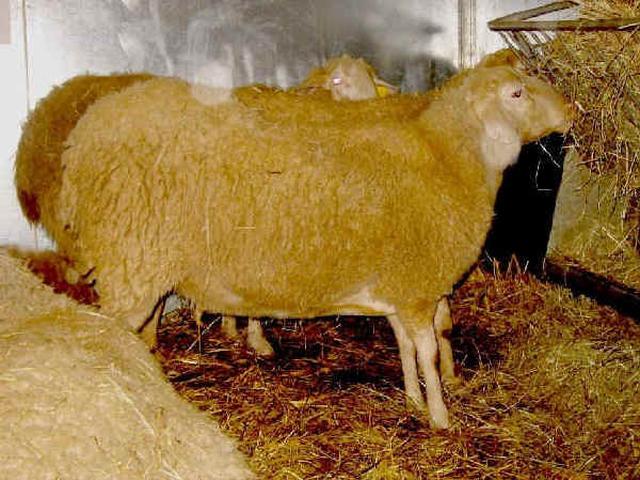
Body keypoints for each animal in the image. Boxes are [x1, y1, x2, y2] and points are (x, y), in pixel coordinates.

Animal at [15, 52, 571, 428]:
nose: (571, 107)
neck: (452, 154)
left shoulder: (400, 285)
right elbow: (430, 352)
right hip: (133, 261)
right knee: (116, 341)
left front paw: (414, 399)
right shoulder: (418, 283)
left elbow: (408, 347)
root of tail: (83, 135)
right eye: (517, 94)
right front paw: (440, 416)